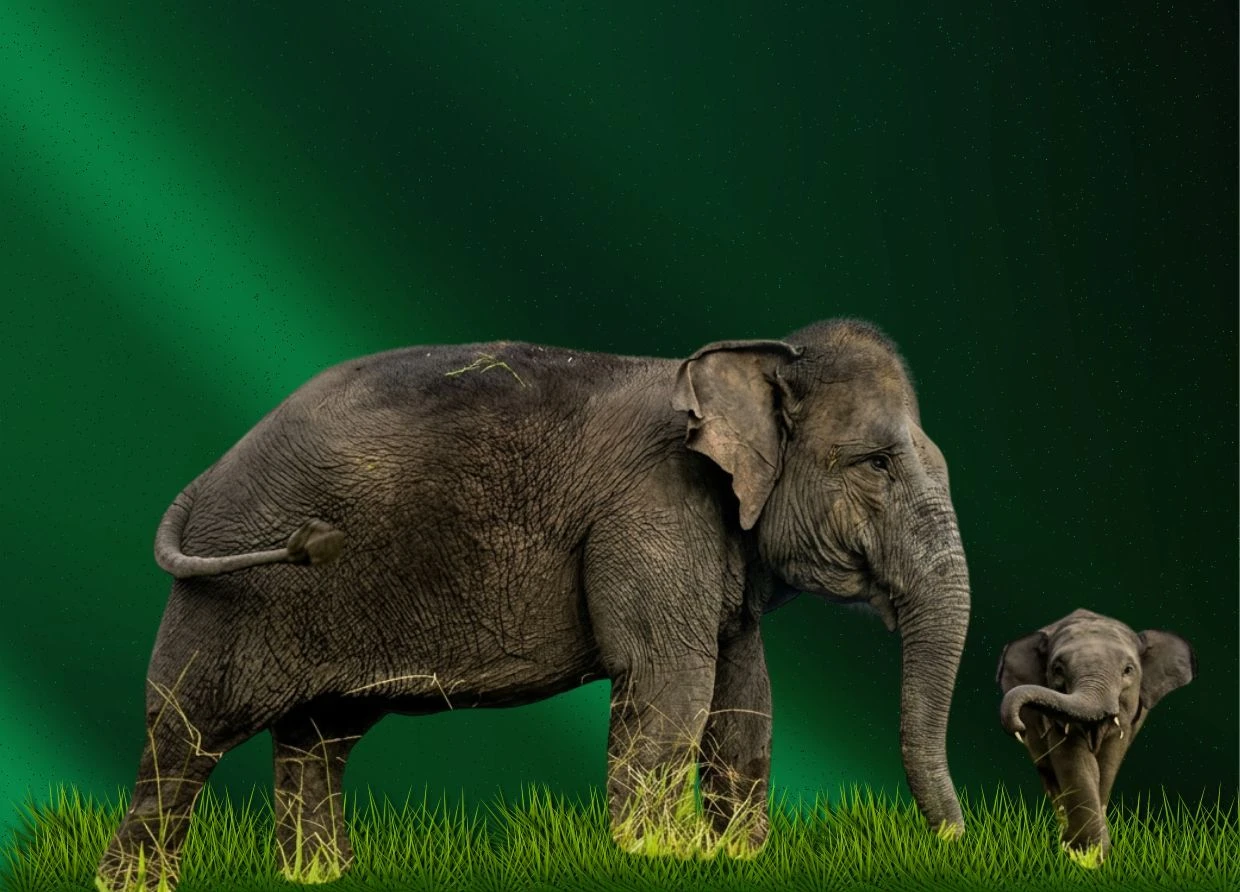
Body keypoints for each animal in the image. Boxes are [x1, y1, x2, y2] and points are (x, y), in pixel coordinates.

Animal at [96, 318, 972, 891]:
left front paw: (736, 861)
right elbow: (672, 693)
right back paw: (132, 884)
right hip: (231, 596)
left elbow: (745, 709)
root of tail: (204, 478)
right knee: (184, 734)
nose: (955, 840)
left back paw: (320, 877)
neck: (754, 357)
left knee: (319, 738)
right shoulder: (655, 513)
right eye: (877, 463)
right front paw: (659, 861)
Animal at [997, 608, 1196, 861]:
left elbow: (1109, 757)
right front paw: (1084, 855)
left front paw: (1090, 854)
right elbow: (1072, 756)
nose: (1017, 726)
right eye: (1057, 670)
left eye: (1128, 670)